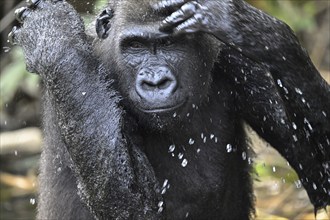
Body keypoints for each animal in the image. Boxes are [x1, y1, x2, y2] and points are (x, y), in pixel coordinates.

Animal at [10, 0, 330, 219]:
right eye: (135, 46)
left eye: (169, 42)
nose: (155, 81)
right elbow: (128, 203)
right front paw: (53, 35)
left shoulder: (233, 57)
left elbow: (318, 174)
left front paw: (247, 25)